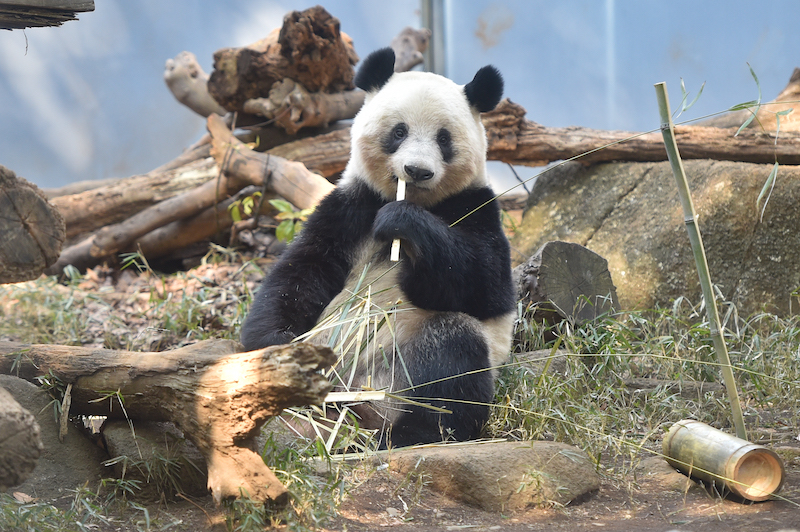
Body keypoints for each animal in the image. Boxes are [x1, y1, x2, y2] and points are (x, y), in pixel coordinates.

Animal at [241, 47, 516, 448]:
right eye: (399, 131)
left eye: (443, 138)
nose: (417, 171)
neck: (418, 201)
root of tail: (358, 407)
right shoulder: (349, 209)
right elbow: (301, 271)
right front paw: (279, 350)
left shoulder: (477, 208)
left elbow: (484, 285)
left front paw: (405, 224)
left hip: (402, 372)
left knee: (451, 358)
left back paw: (412, 435)